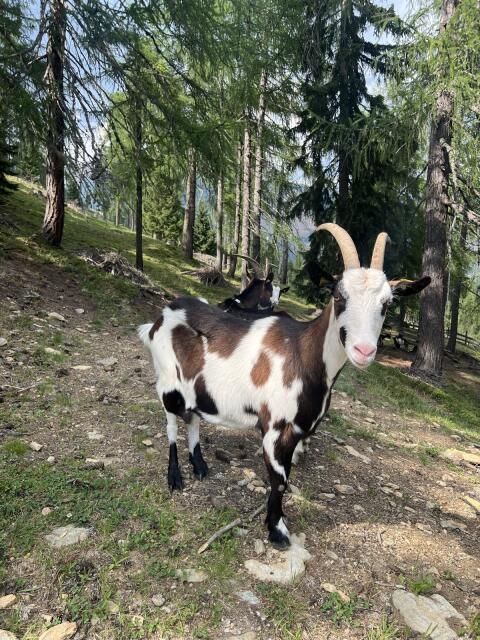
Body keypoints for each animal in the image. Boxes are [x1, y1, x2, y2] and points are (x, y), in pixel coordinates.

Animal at [138, 224, 430, 548]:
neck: (302, 355)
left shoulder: (299, 430)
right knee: (171, 425)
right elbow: (279, 480)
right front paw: (277, 530)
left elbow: (287, 475)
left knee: (192, 419)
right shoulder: (275, 427)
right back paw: (175, 477)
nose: (364, 351)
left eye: (387, 303)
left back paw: (200, 466)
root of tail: (161, 317)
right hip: (167, 383)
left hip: (195, 390)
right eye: (338, 295)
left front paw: (274, 521)